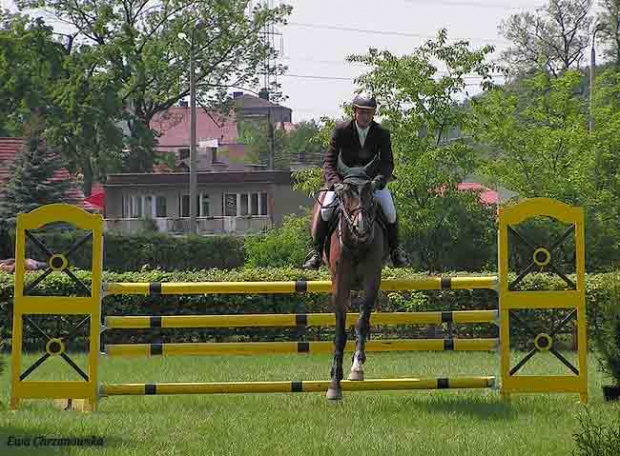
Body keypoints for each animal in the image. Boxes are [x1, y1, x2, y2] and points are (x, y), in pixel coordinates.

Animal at [310, 159, 388, 400]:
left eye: (371, 192)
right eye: (344, 194)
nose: (361, 227)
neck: (356, 243)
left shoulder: (372, 280)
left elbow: (362, 323)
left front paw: (356, 368)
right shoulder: (340, 284)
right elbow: (339, 334)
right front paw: (334, 383)